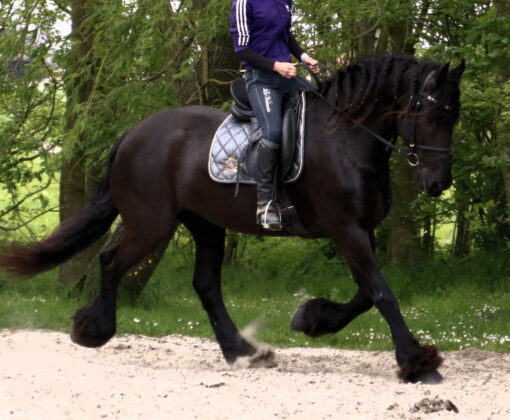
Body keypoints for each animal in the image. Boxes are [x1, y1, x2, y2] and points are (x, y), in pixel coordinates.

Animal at [0, 54, 462, 382]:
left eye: (453, 117)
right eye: (434, 114)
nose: (438, 183)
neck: (346, 140)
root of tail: (134, 134)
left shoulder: (361, 230)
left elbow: (368, 293)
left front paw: (312, 318)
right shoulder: (346, 230)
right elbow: (382, 293)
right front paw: (418, 363)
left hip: (205, 223)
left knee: (205, 284)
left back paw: (241, 351)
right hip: (152, 224)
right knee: (112, 261)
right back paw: (93, 330)